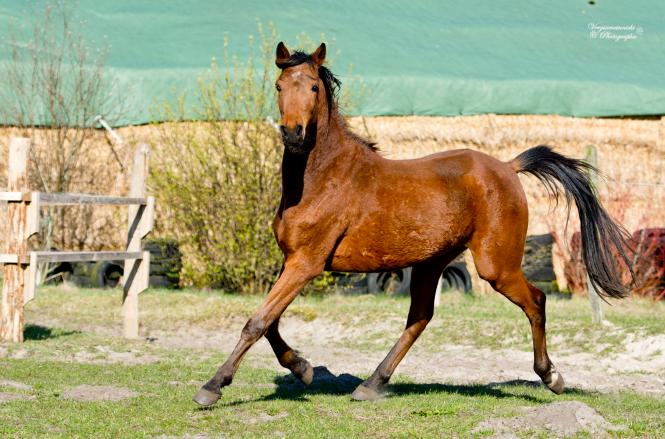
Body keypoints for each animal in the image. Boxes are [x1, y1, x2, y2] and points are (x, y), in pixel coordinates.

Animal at [193, 42, 631, 406]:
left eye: (314, 87)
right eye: (280, 85)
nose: (293, 134)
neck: (320, 178)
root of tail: (508, 167)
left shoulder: (307, 263)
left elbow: (257, 321)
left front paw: (212, 387)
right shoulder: (292, 262)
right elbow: (269, 322)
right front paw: (301, 368)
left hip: (495, 266)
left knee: (535, 300)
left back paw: (552, 377)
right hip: (431, 263)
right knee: (420, 317)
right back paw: (371, 384)